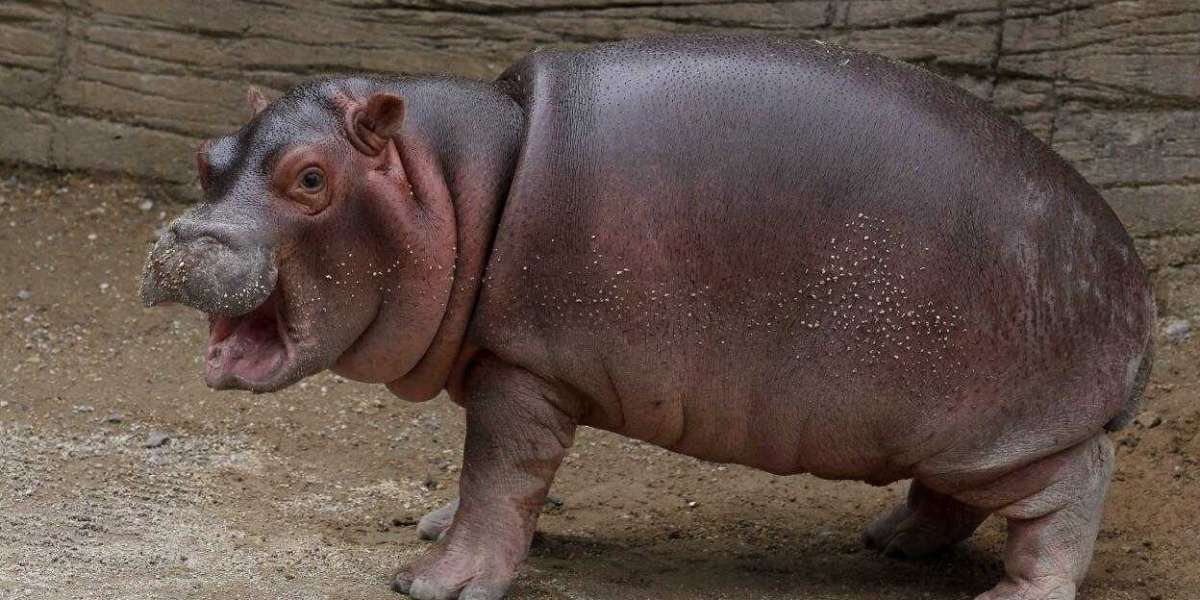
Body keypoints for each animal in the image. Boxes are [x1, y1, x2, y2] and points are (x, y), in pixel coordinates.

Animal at [140, 35, 1152, 597]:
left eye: (310, 178)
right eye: (207, 154)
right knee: (959, 495)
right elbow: (495, 484)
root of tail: (1134, 282)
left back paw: (1016, 595)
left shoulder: (523, 369)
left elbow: (499, 472)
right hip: (952, 430)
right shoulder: (510, 366)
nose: (180, 240)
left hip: (1010, 422)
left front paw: (431, 582)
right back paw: (892, 542)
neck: (453, 181)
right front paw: (434, 529)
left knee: (1074, 487)